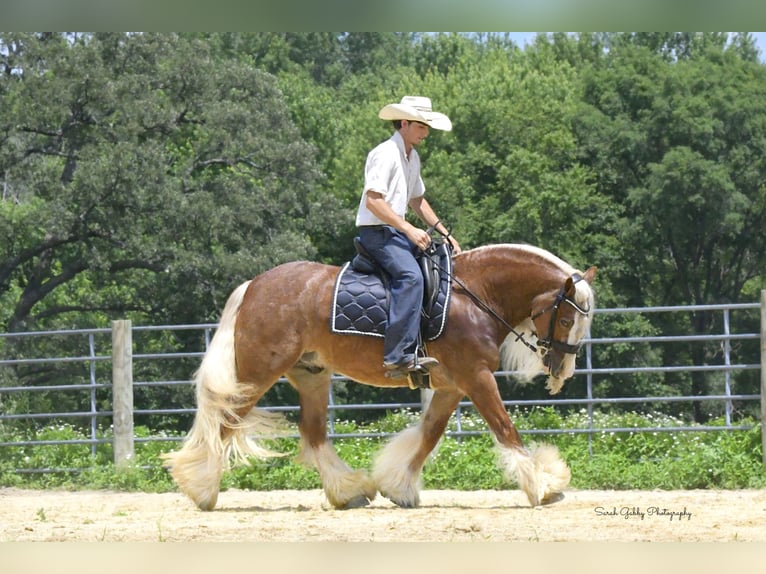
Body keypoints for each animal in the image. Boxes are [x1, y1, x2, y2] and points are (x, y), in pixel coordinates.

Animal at [162, 243, 597, 511]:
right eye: (568, 318)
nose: (563, 370)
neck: (473, 296)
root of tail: (254, 285)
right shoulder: (475, 378)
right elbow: (505, 428)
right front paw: (542, 484)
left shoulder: (452, 385)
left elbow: (429, 434)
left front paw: (397, 486)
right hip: (257, 373)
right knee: (226, 421)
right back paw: (201, 488)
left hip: (312, 375)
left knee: (313, 433)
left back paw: (348, 492)